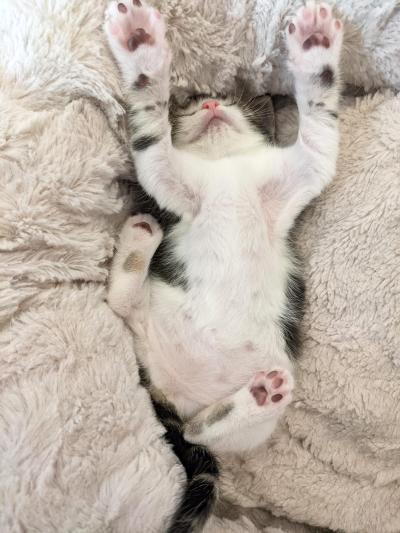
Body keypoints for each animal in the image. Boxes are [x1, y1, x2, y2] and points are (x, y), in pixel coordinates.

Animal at [104, 1, 342, 528]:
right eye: (188, 104)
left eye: (231, 100)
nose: (212, 107)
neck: (226, 167)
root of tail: (172, 392)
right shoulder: (167, 181)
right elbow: (151, 137)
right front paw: (141, 47)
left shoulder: (305, 170)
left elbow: (320, 133)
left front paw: (315, 47)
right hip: (150, 328)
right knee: (124, 311)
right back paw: (138, 243)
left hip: (261, 400)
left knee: (199, 431)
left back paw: (253, 399)